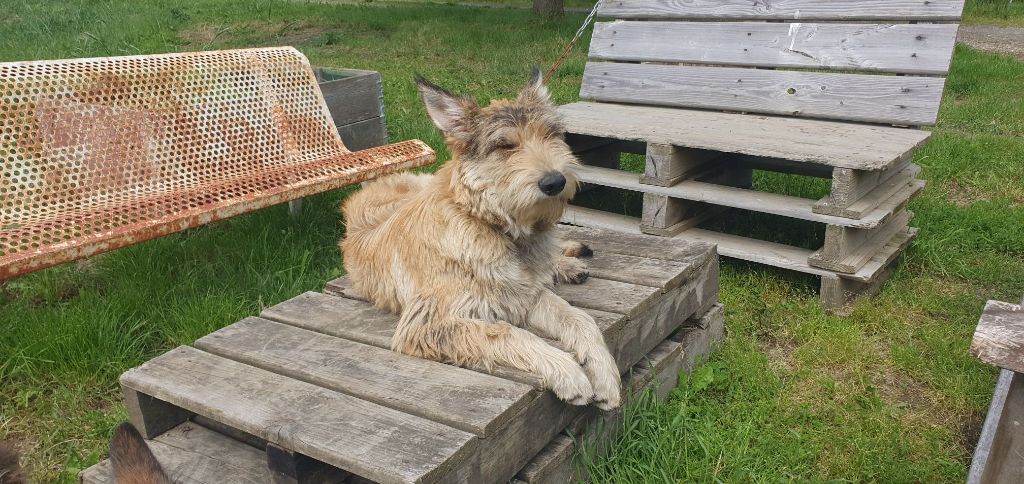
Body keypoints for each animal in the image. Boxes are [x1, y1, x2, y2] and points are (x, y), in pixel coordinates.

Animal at [339, 69, 618, 407]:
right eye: (505, 145)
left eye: (550, 135)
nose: (555, 182)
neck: (494, 225)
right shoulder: (427, 324)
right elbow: (507, 332)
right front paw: (566, 370)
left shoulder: (527, 294)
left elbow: (579, 318)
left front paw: (604, 372)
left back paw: (569, 261)